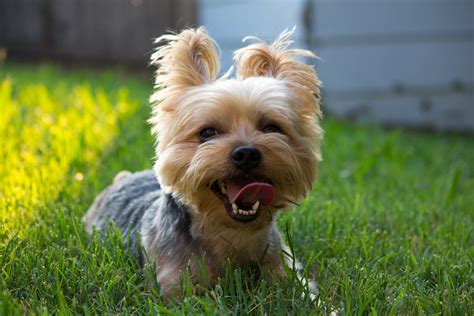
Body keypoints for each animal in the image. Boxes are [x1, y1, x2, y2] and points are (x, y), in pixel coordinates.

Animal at [83, 26, 324, 298]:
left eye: (272, 127)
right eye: (207, 133)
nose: (246, 153)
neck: (232, 234)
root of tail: (124, 177)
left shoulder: (285, 269)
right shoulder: (173, 285)